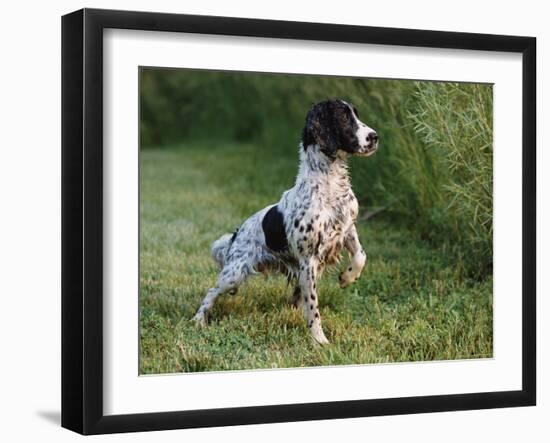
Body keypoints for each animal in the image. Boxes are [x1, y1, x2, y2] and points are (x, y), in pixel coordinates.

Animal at [194, 99, 380, 346]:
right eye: (343, 116)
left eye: (356, 114)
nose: (374, 136)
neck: (329, 188)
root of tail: (236, 234)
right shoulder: (308, 260)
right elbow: (314, 308)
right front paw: (320, 340)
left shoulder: (346, 229)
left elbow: (360, 256)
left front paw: (347, 278)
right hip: (233, 274)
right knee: (211, 292)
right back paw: (198, 320)